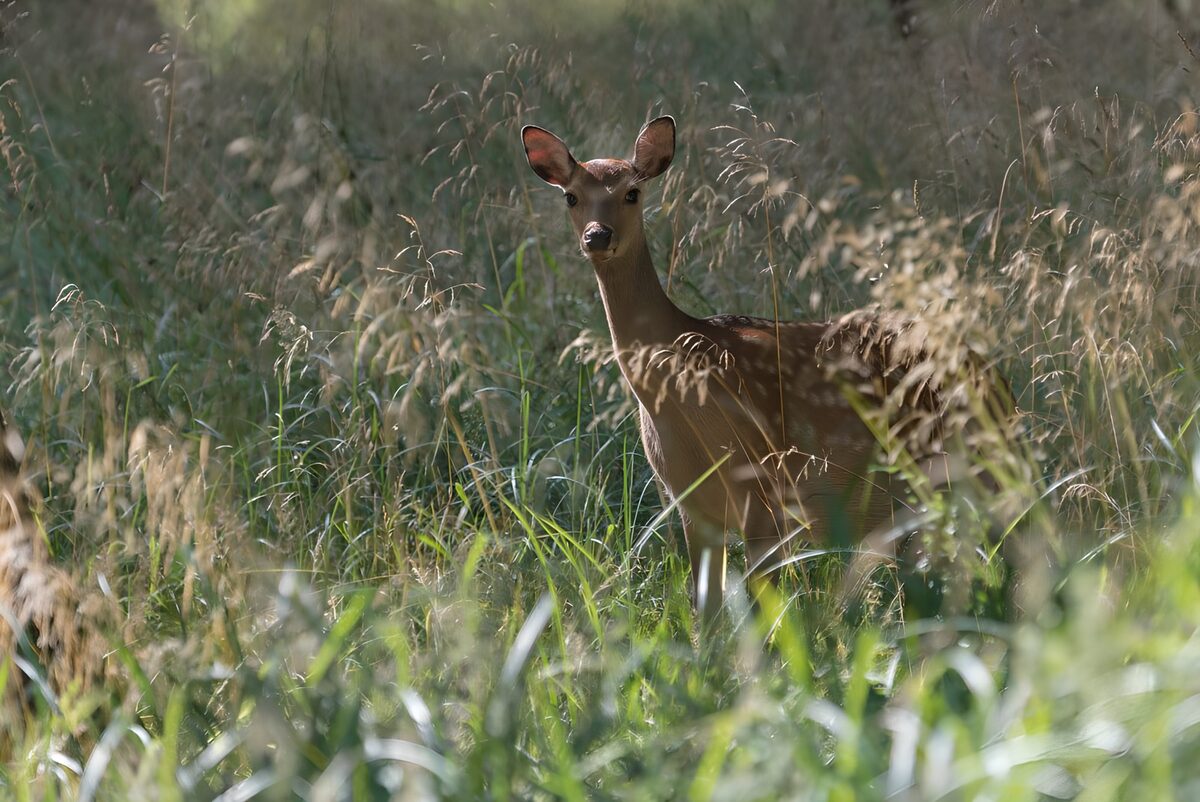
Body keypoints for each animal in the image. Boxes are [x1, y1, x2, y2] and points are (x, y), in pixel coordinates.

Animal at [522, 116, 1004, 623]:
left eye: (632, 192)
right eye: (571, 196)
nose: (598, 236)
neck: (677, 396)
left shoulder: (765, 493)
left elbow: (764, 616)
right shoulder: (692, 505)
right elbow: (707, 614)